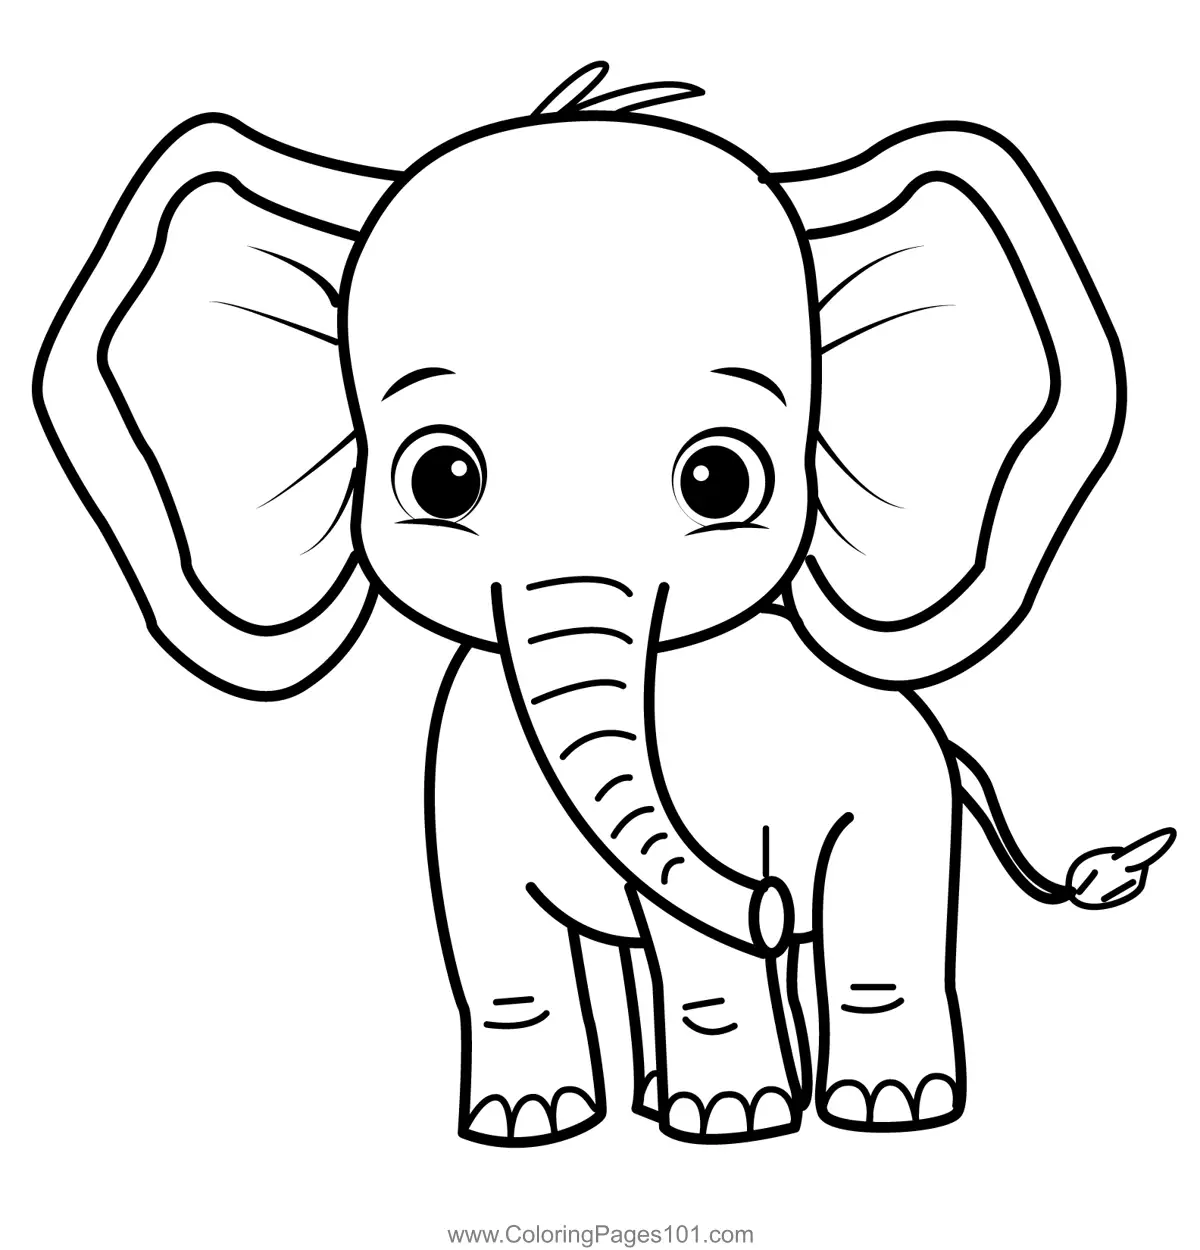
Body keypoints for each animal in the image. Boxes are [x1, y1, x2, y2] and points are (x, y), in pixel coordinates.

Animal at [33, 62, 1174, 1146]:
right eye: (441, 478)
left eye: (719, 480)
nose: (769, 897)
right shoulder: (463, 788)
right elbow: (489, 935)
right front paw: (528, 1124)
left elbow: (689, 932)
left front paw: (731, 1121)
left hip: (902, 813)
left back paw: (887, 1103)